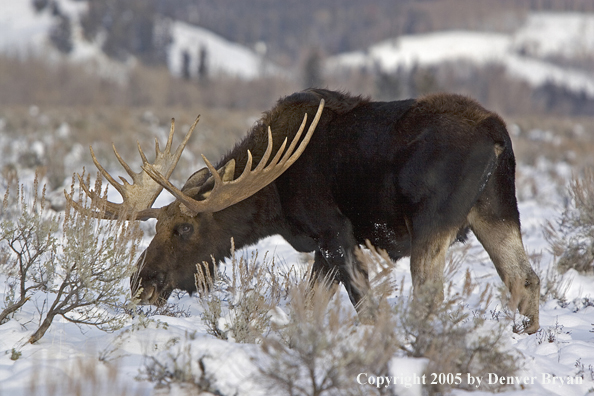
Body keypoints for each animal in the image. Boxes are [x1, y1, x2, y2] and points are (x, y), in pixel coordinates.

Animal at [68, 88, 536, 332]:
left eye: (184, 229)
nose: (141, 281)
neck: (272, 199)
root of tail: (497, 135)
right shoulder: (324, 249)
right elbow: (310, 307)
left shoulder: (334, 234)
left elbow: (364, 305)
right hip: (496, 211)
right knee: (524, 279)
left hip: (432, 224)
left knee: (431, 294)